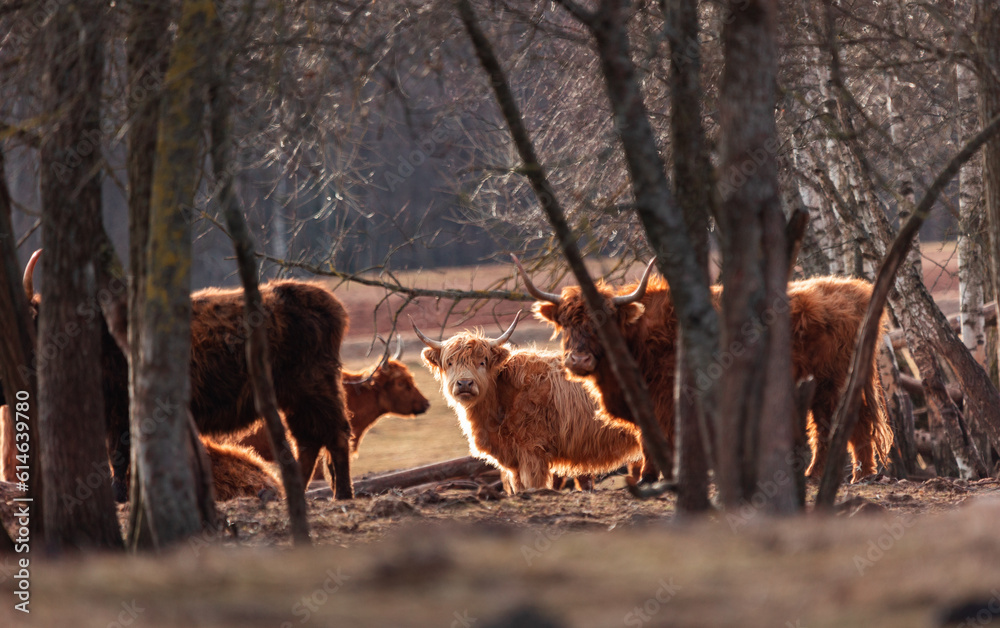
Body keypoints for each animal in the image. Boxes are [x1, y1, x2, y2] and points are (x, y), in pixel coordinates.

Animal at [20, 250, 355, 500]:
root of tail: (329, 303)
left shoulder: (121, 413)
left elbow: (119, 457)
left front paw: (120, 497)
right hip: (297, 397)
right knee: (309, 441)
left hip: (314, 386)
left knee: (334, 434)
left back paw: (342, 495)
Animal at [413, 313, 643, 493]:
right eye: (450, 362)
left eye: (482, 362)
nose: (465, 383)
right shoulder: (513, 462)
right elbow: (519, 488)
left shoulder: (532, 452)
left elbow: (534, 486)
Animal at [516, 258, 894, 483]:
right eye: (565, 322)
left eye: (603, 322)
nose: (578, 360)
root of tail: (855, 290)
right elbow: (646, 439)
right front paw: (651, 476)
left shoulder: (666, 399)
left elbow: (659, 439)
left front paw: (657, 477)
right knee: (858, 425)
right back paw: (863, 474)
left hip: (830, 385)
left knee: (830, 427)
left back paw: (817, 475)